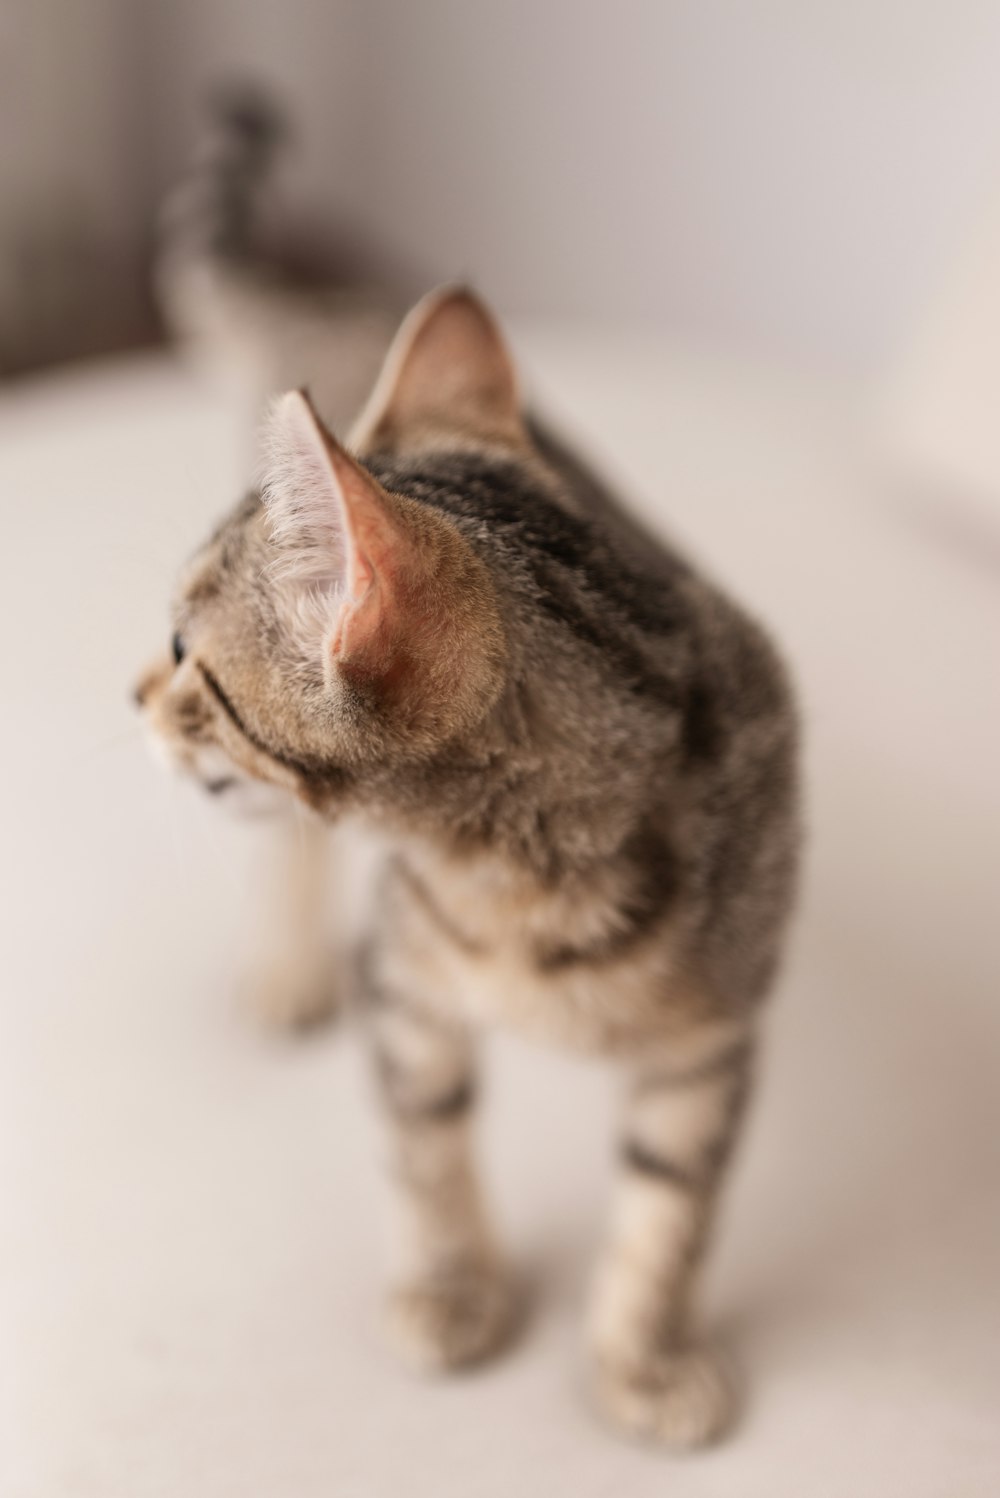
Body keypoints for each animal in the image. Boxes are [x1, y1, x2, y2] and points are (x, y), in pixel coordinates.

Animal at [134, 275, 802, 1444]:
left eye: (181, 650)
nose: (128, 694)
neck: (529, 886)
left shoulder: (712, 1040)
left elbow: (672, 1207)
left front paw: (646, 1356)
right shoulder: (401, 982)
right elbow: (428, 1151)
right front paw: (452, 1290)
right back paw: (289, 970)